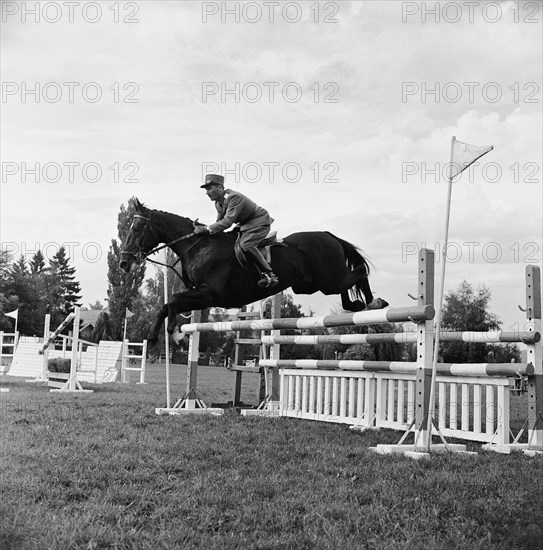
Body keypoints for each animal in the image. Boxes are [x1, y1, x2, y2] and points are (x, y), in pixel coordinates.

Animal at [119, 201, 392, 356]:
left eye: (136, 228)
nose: (124, 263)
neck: (199, 246)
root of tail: (328, 234)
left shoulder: (212, 294)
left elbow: (173, 301)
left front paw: (174, 335)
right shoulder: (201, 295)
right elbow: (166, 305)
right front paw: (158, 338)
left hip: (327, 279)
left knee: (359, 272)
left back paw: (374, 303)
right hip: (311, 285)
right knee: (347, 286)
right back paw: (357, 305)